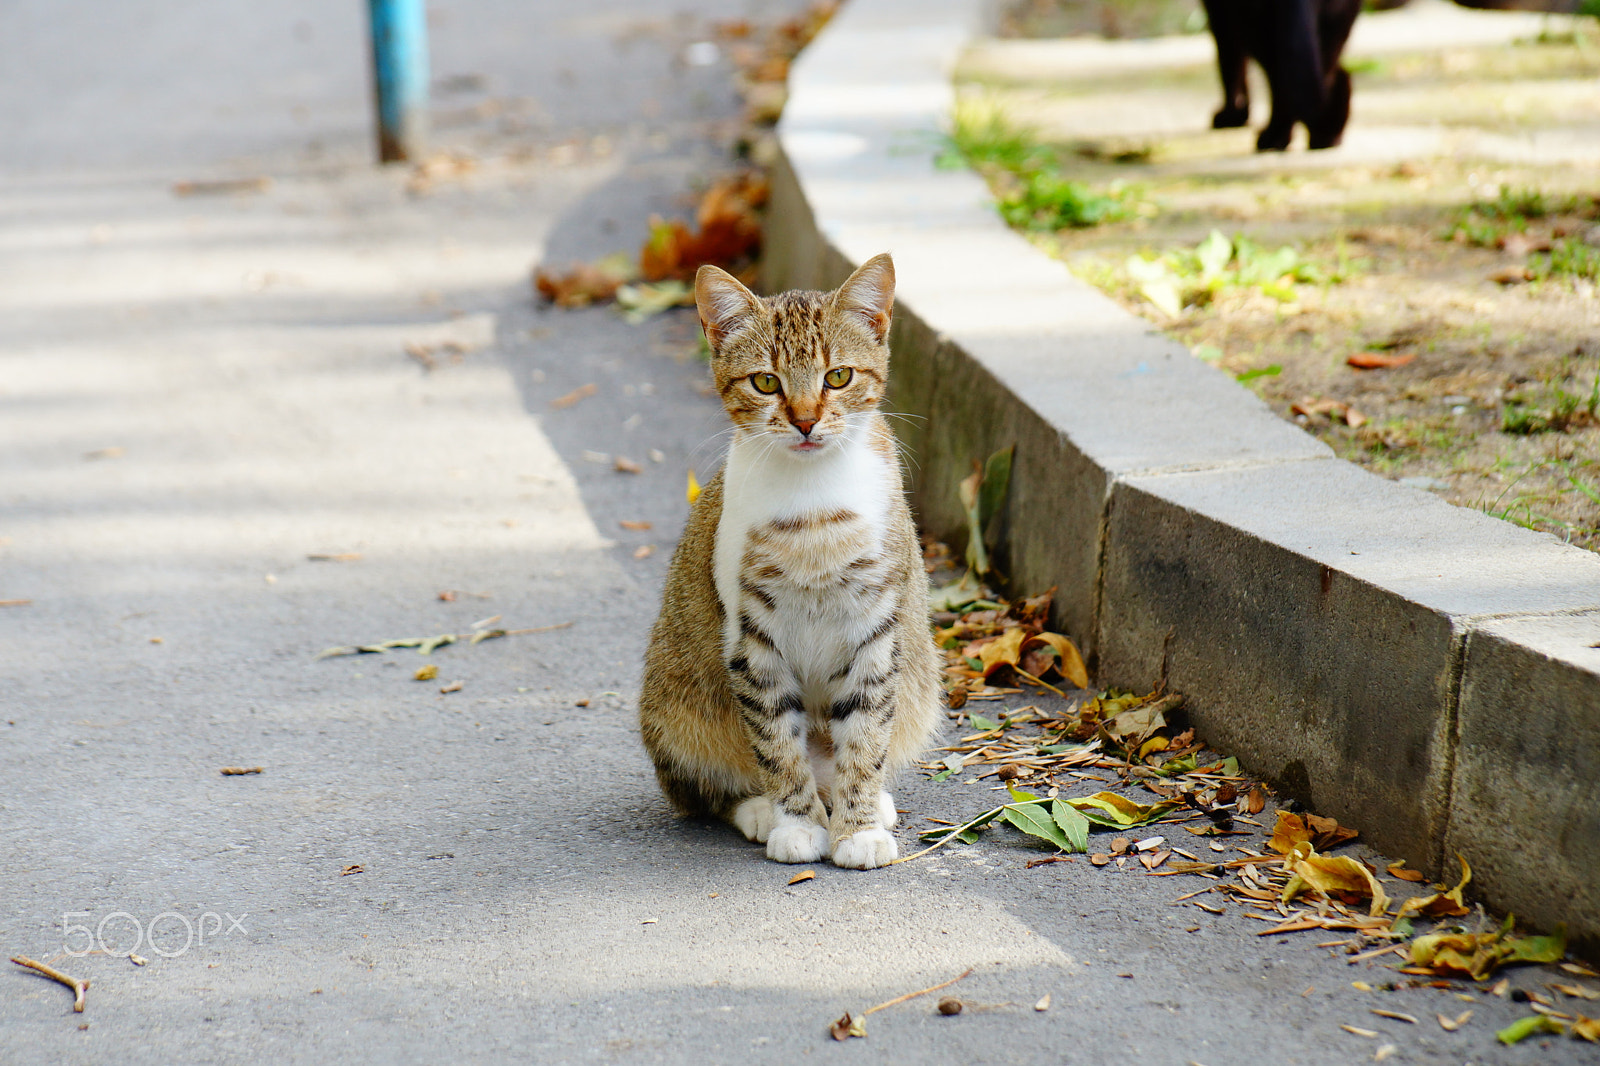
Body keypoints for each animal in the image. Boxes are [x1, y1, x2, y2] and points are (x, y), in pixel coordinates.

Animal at [633, 252, 940, 870]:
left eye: (838, 377)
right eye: (766, 382)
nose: (803, 420)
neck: (813, 500)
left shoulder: (878, 629)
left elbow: (866, 734)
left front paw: (858, 826)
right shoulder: (751, 639)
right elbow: (775, 741)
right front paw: (797, 822)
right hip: (675, 708)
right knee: (703, 788)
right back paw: (759, 807)